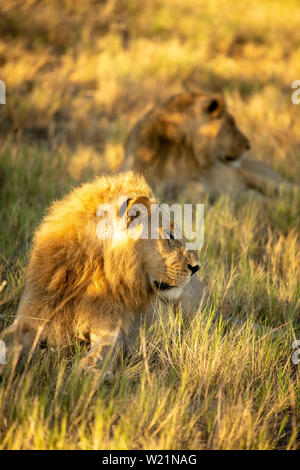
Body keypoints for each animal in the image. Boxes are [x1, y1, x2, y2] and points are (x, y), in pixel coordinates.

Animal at [1, 172, 204, 378]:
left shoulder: (112, 328)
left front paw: (88, 372)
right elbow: (7, 339)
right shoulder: (31, 318)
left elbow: (102, 350)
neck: (88, 269)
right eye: (170, 236)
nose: (196, 267)